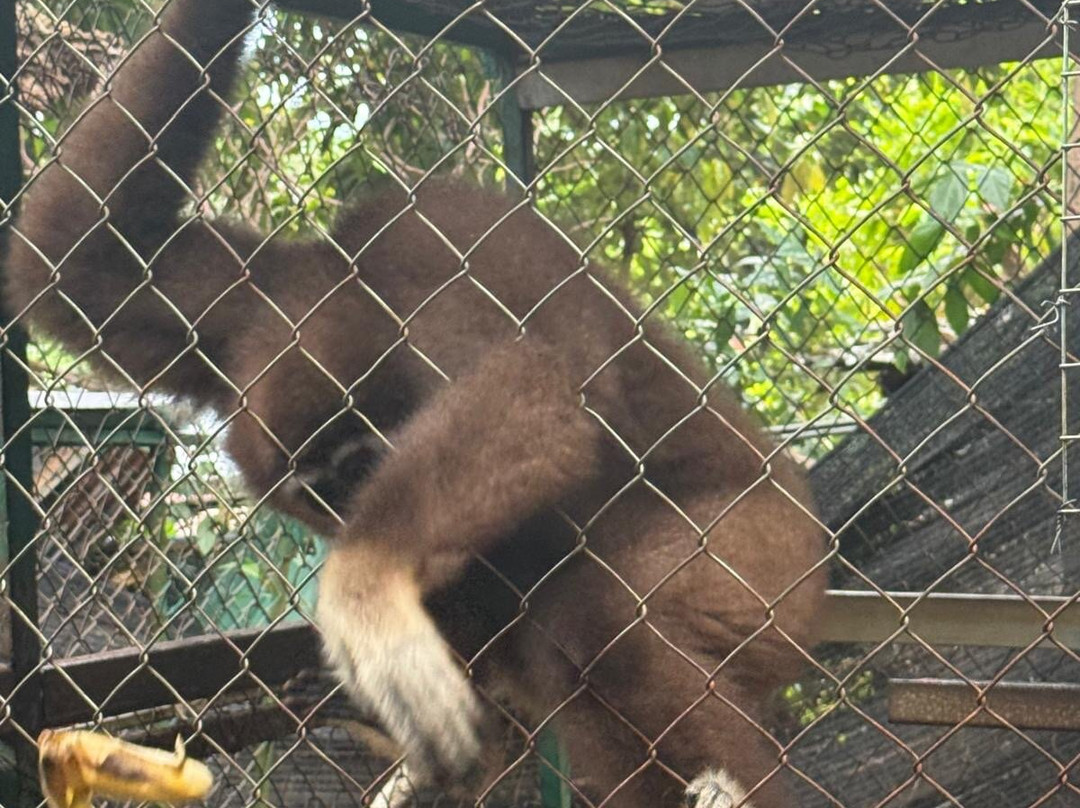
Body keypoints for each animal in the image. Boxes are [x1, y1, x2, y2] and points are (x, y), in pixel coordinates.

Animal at [3, 1, 827, 805]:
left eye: (359, 473)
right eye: (322, 496)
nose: (347, 513)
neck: (349, 283)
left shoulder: (427, 301)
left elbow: (541, 389)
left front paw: (365, 580)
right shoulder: (240, 307)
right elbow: (79, 263)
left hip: (770, 558)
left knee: (597, 618)